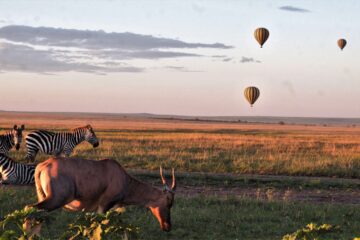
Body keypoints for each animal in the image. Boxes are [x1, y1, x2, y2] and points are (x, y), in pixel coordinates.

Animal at [33, 157, 176, 232]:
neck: (121, 176)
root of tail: (43, 166)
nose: (167, 226)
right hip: (54, 200)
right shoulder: (104, 206)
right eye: (168, 202)